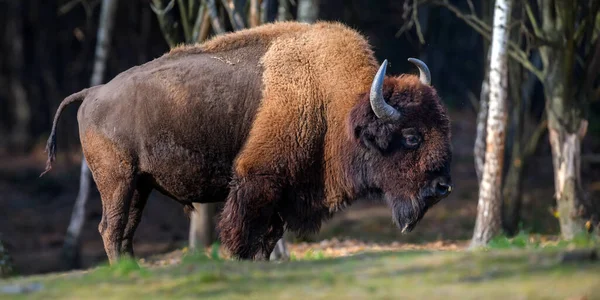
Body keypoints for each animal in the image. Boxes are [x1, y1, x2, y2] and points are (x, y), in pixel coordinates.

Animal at [42, 21, 452, 264]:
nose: (442, 188)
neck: (331, 99)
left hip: (140, 184)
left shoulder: (283, 195)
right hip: (117, 181)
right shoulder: (257, 182)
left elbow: (267, 240)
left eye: (443, 127)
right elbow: (245, 236)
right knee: (110, 229)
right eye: (411, 137)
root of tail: (93, 92)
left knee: (125, 231)